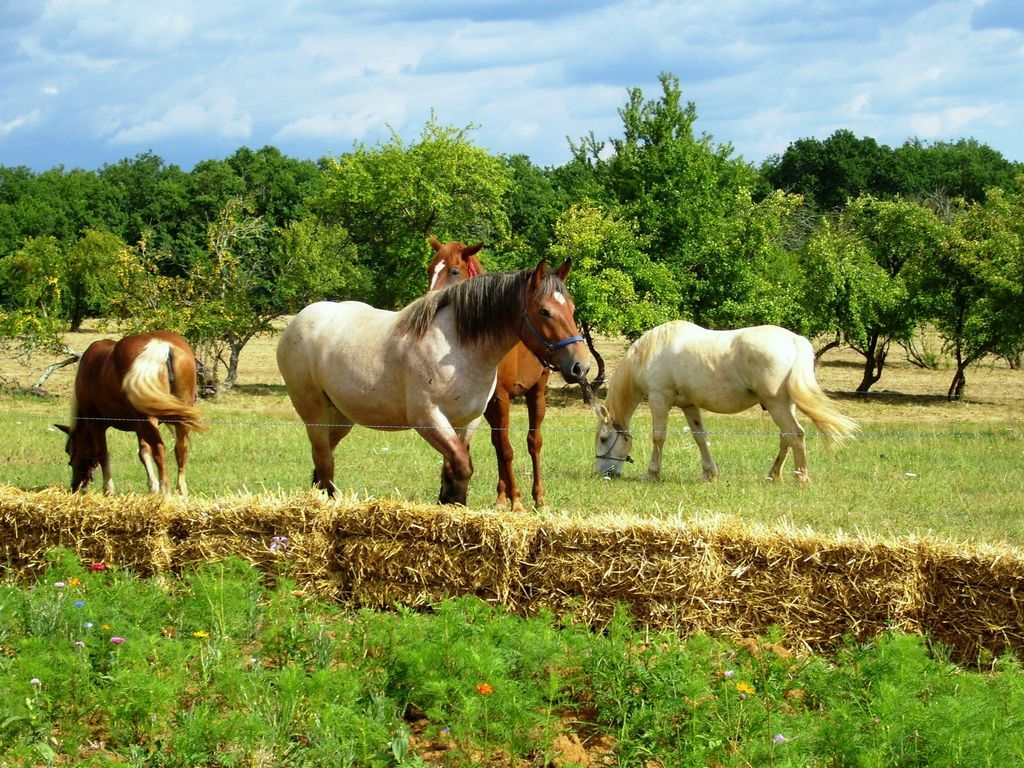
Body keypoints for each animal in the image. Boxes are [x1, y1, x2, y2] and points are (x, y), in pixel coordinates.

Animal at [55, 331, 205, 495]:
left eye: (69, 450)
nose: (75, 486)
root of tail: (162, 346)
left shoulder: (95, 424)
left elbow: (103, 454)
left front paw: (108, 489)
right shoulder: (139, 426)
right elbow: (144, 453)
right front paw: (152, 487)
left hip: (150, 420)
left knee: (160, 451)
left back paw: (164, 491)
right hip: (179, 418)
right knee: (181, 450)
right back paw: (181, 490)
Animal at [277, 260, 589, 505]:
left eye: (572, 309)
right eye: (545, 311)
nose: (581, 365)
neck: (457, 347)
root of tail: (299, 320)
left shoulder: (467, 422)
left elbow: (453, 471)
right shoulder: (429, 419)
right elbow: (462, 468)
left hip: (341, 418)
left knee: (322, 463)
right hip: (314, 414)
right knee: (324, 463)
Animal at [427, 235, 554, 511]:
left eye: (454, 271)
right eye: (430, 270)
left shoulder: (500, 398)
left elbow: (507, 449)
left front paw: (517, 501)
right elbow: (484, 446)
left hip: (536, 392)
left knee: (534, 441)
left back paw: (539, 497)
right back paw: (500, 497)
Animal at [593, 321, 858, 484]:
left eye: (604, 438)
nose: (603, 474)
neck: (652, 352)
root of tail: (794, 341)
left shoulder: (660, 399)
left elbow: (658, 437)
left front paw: (652, 474)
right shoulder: (689, 405)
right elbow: (700, 437)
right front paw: (709, 474)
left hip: (777, 404)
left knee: (796, 435)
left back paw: (801, 477)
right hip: (784, 405)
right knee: (786, 437)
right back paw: (773, 475)